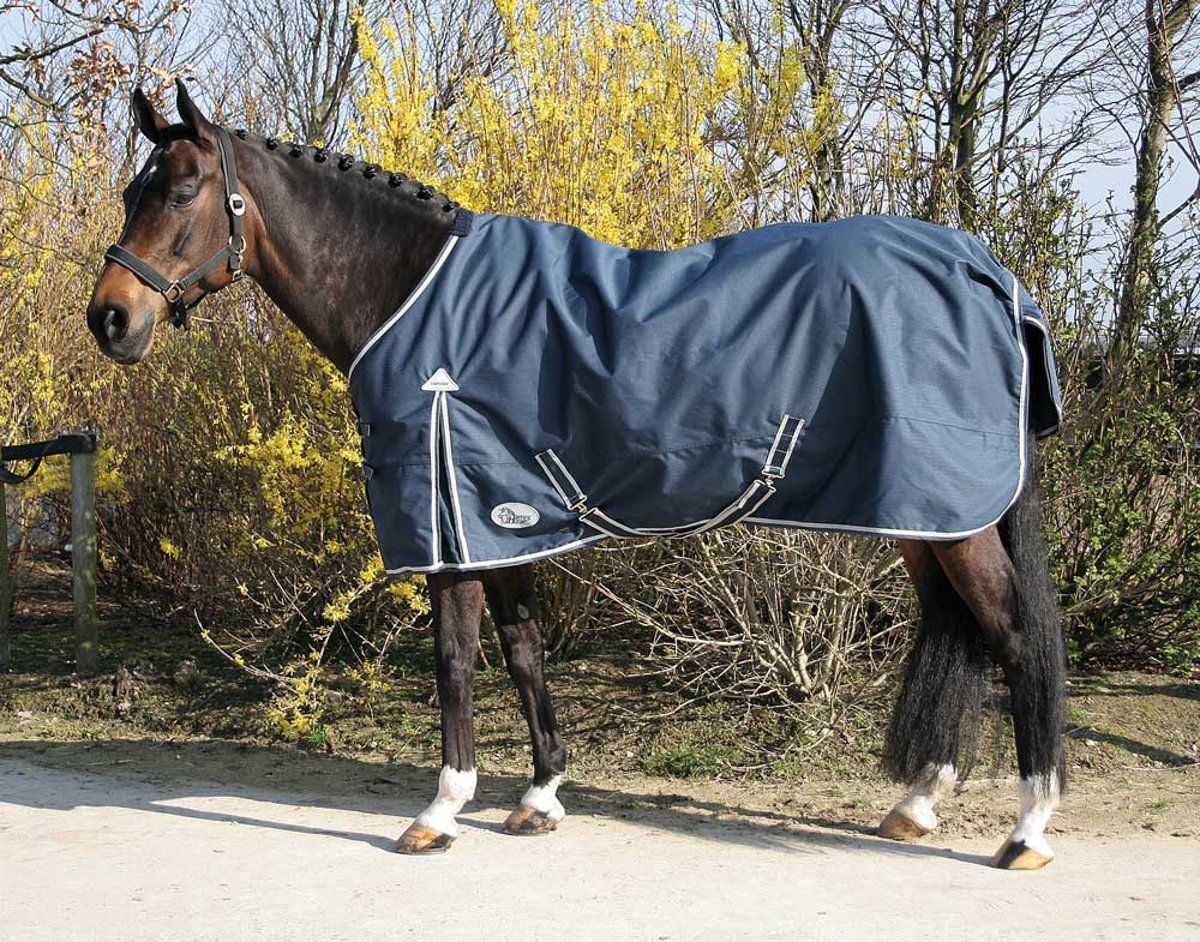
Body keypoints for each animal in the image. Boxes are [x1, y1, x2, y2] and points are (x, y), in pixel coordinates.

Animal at [86, 80, 1067, 870]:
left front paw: (440, 811)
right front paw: (539, 796)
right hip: (926, 518)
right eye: (132, 191)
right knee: (963, 631)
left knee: (1017, 639)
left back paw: (1026, 831)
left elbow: (454, 661)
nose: (110, 319)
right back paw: (917, 804)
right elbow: (522, 652)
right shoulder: (497, 516)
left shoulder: (449, 521)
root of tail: (987, 273)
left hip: (953, 518)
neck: (411, 295)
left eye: (180, 191)